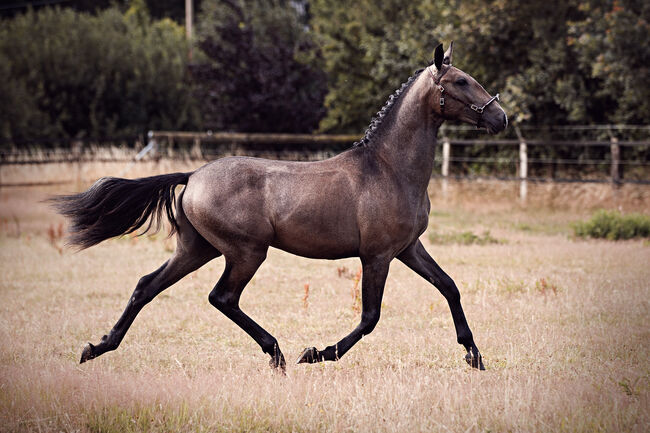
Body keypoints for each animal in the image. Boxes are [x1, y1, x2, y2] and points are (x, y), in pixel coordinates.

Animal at [53, 41, 504, 372]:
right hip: (246, 251)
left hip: (197, 249)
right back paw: (279, 354)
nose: (499, 118)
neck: (389, 168)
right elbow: (370, 317)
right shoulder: (377, 255)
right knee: (222, 297)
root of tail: (193, 176)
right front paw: (317, 353)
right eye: (461, 81)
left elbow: (449, 286)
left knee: (146, 286)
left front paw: (475, 357)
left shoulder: (408, 248)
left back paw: (96, 347)